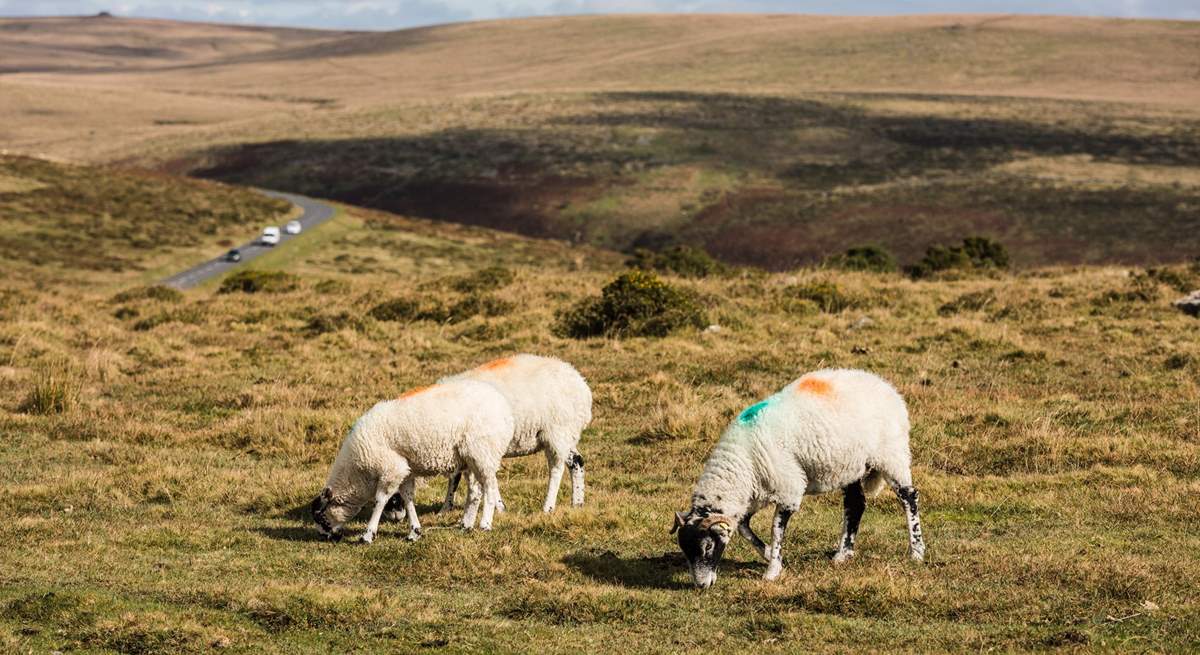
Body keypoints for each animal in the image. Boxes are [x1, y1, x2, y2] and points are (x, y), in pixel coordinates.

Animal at [309, 376, 511, 539]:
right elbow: (408, 498)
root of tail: (502, 404)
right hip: (470, 458)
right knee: (475, 491)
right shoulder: (405, 471)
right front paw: (414, 531)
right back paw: (466, 525)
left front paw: (368, 534)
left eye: (319, 516)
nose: (323, 537)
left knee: (490, 487)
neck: (358, 474)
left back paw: (485, 524)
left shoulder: (391, 469)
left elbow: (380, 499)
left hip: (482, 452)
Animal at [388, 352, 595, 515]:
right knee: (577, 461)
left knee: (557, 468)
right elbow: (457, 478)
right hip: (566, 434)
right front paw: (446, 510)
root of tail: (582, 386)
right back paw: (577, 503)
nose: (395, 516)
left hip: (556, 432)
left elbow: (464, 478)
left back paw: (548, 507)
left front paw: (497, 507)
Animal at [676, 367, 926, 585]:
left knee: (909, 497)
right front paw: (768, 554)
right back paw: (843, 554)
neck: (741, 463)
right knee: (855, 504)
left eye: (708, 547)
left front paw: (772, 571)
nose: (701, 585)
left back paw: (917, 551)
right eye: (684, 550)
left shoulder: (789, 489)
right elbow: (744, 528)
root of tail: (886, 386)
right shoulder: (756, 494)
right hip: (851, 466)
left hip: (891, 455)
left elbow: (776, 529)